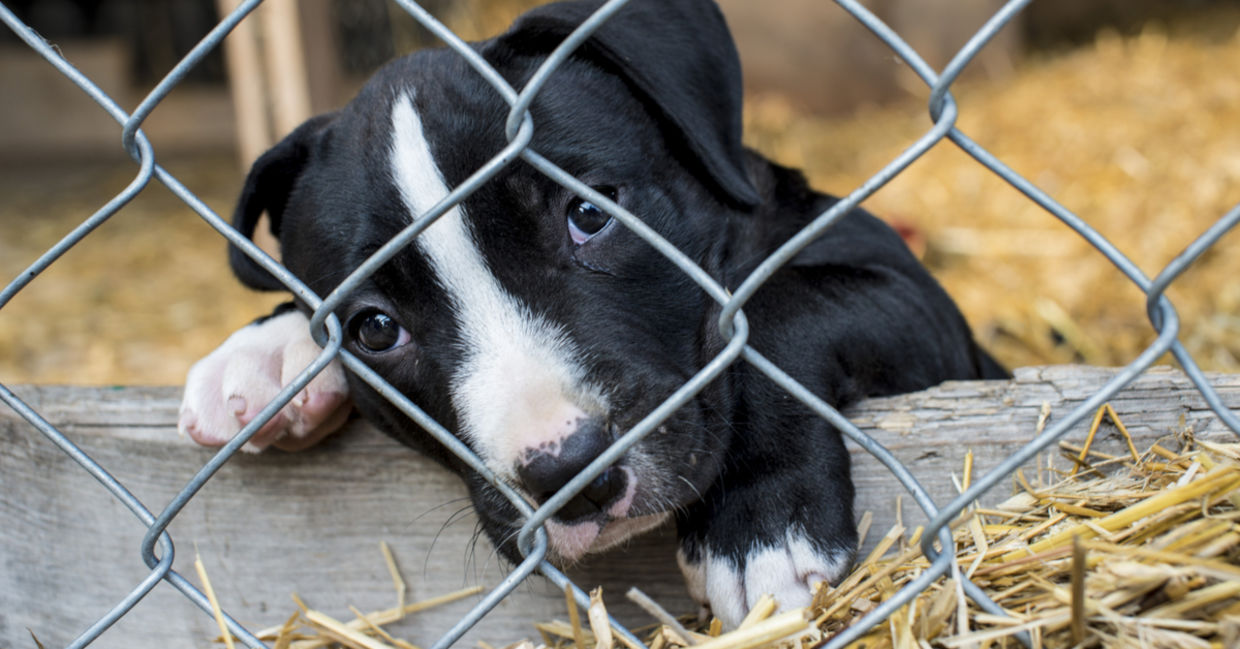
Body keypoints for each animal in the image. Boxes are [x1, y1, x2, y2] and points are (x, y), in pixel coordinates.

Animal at [177, 0, 1006, 630]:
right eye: (376, 329)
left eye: (588, 214)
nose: (569, 470)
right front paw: (269, 350)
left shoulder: (915, 299)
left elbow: (777, 311)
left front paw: (760, 524)